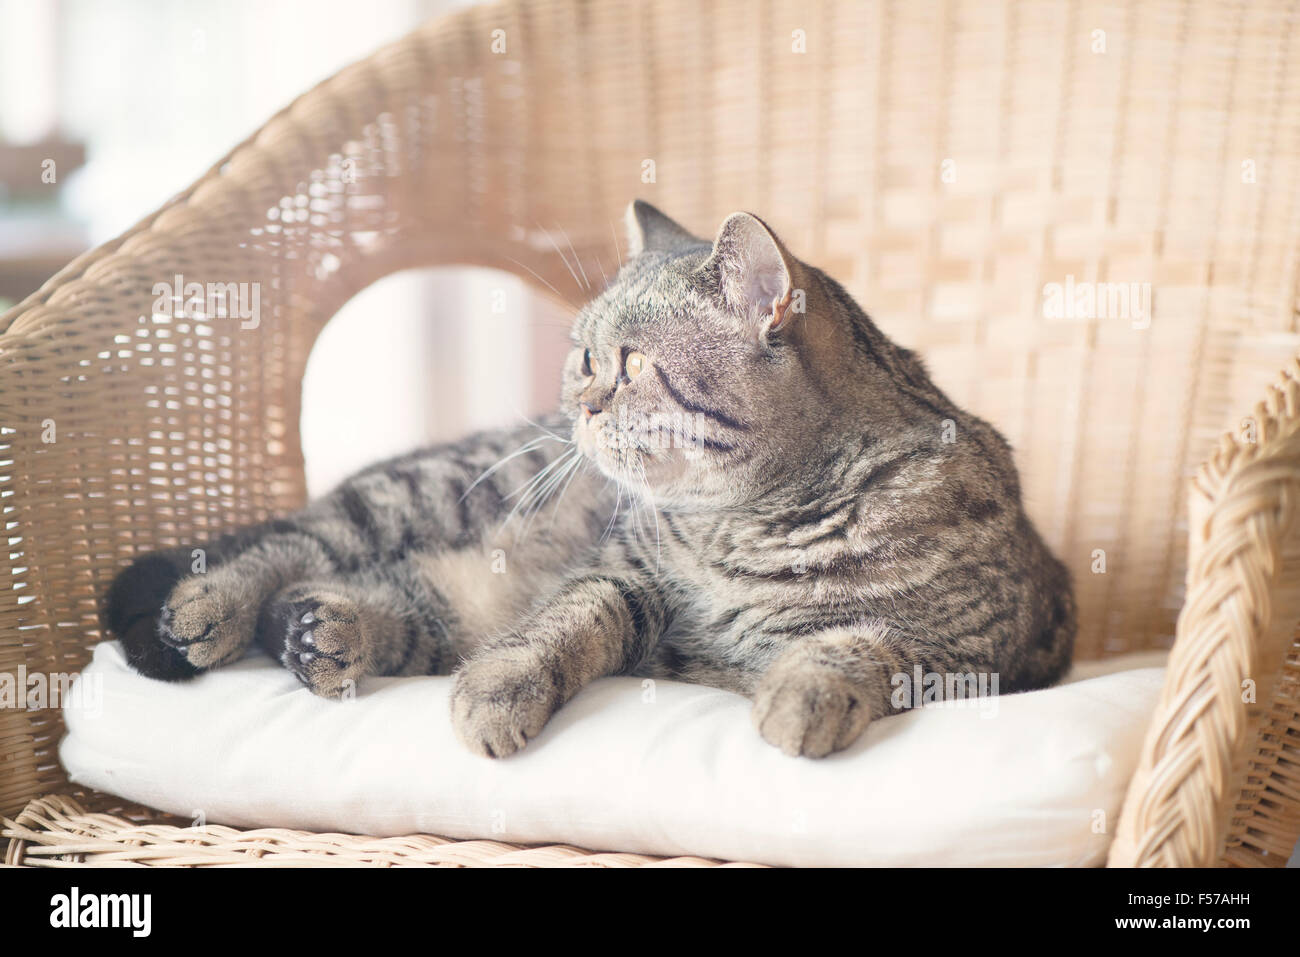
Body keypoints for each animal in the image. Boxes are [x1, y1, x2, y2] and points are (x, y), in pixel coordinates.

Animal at [104, 200, 1076, 754]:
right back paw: (215, 607)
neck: (746, 525)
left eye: (633, 363)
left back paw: (329, 632)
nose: (577, 400)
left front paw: (804, 694)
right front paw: (502, 688)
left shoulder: (972, 652)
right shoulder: (626, 573)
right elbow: (567, 620)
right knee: (285, 544)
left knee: (383, 599)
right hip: (425, 493)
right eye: (582, 356)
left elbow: (860, 645)